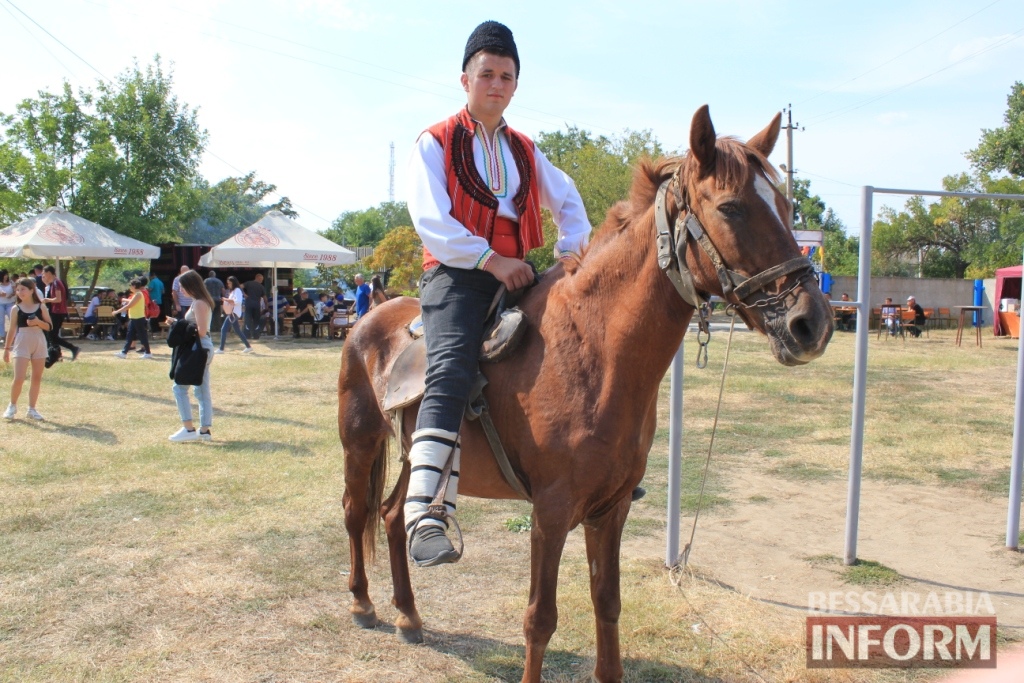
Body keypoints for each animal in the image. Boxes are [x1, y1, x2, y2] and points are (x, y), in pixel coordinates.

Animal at [339, 104, 835, 679]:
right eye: (731, 208)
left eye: (786, 206)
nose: (812, 324)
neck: (594, 353)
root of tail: (371, 316)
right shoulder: (551, 514)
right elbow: (540, 619)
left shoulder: (610, 510)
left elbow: (607, 603)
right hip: (360, 443)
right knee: (356, 512)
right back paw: (363, 603)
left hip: (405, 454)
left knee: (394, 516)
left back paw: (408, 615)